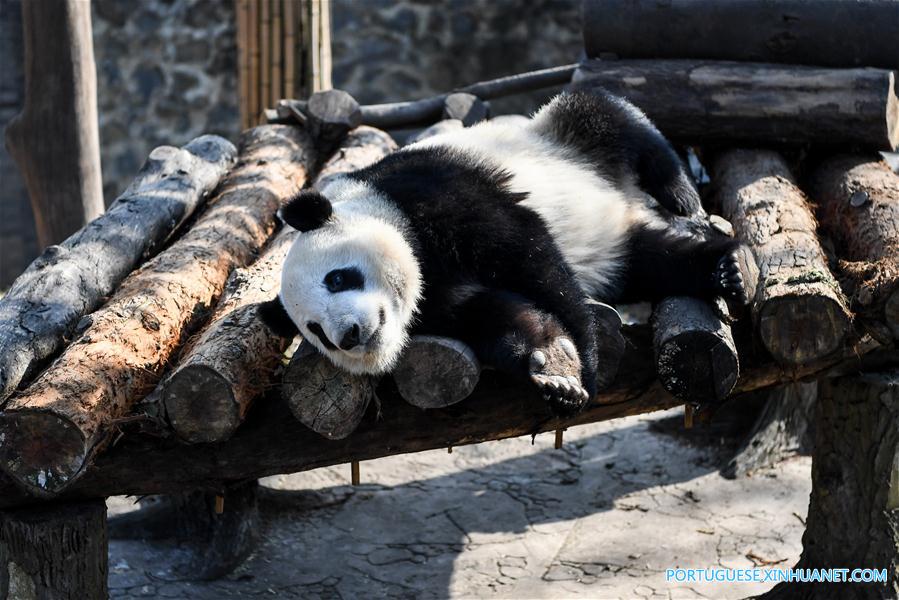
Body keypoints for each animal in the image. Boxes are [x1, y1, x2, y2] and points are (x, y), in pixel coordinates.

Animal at [262, 90, 760, 418]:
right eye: (315, 331)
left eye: (337, 278)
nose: (348, 335)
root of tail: (628, 203)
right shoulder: (437, 304)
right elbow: (495, 314)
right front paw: (555, 371)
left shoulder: (434, 190)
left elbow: (528, 255)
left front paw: (587, 366)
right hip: (617, 250)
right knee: (654, 261)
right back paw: (723, 269)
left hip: (560, 139)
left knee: (611, 119)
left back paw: (689, 205)